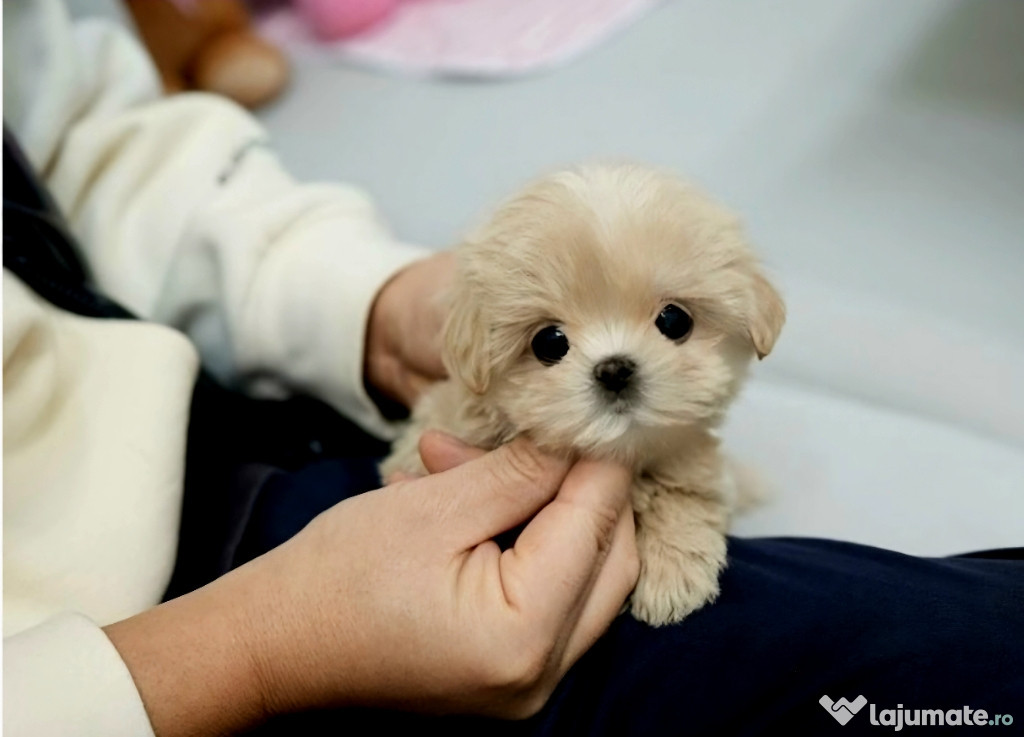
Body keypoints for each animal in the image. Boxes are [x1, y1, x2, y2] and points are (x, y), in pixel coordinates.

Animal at [380, 163, 786, 626]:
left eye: (674, 320)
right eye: (549, 342)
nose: (614, 370)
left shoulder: (692, 461)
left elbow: (688, 495)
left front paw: (673, 573)